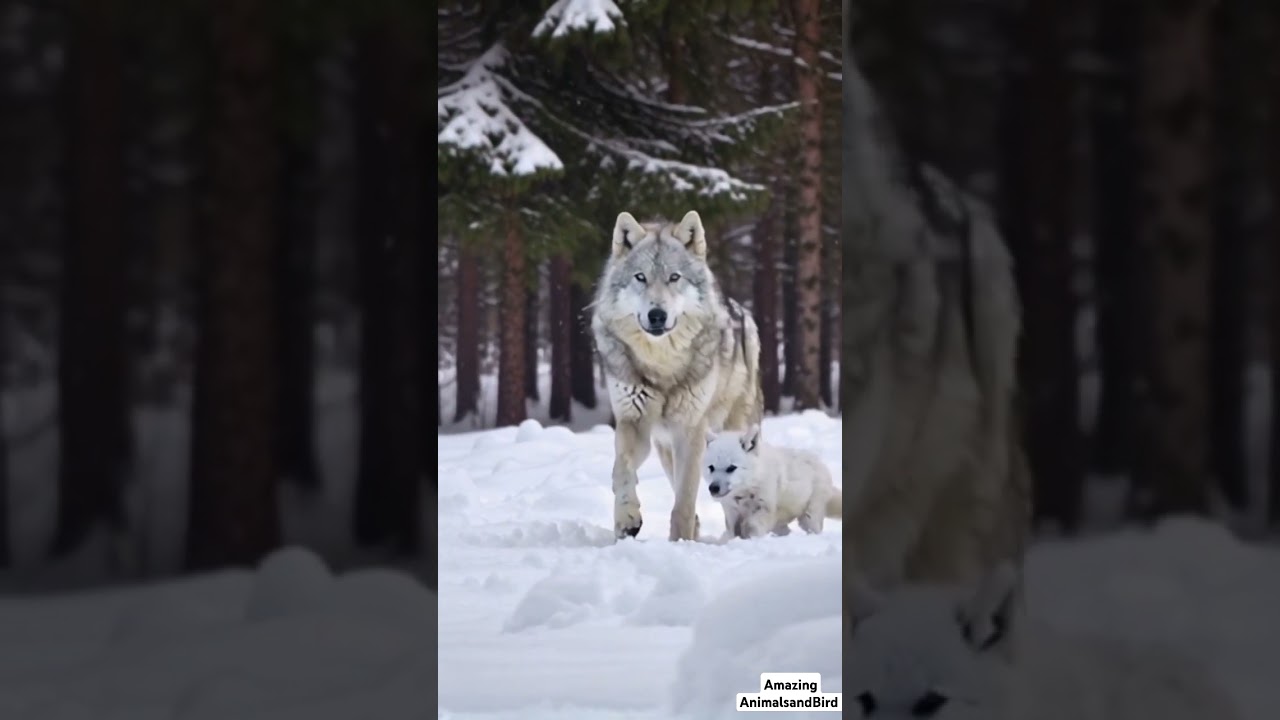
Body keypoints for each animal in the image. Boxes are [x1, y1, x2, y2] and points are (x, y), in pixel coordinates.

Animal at [590, 210, 763, 542]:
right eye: (640, 277)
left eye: (674, 277)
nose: (657, 315)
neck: (662, 364)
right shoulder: (633, 423)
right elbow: (621, 472)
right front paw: (626, 520)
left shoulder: (690, 431)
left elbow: (684, 501)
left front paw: (680, 542)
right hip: (664, 448)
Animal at [703, 424, 841, 541]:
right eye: (711, 467)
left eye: (731, 468)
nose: (713, 488)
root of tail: (822, 464)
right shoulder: (732, 513)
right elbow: (733, 532)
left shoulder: (764, 509)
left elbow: (751, 526)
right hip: (781, 524)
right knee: (787, 531)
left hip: (809, 517)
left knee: (814, 530)